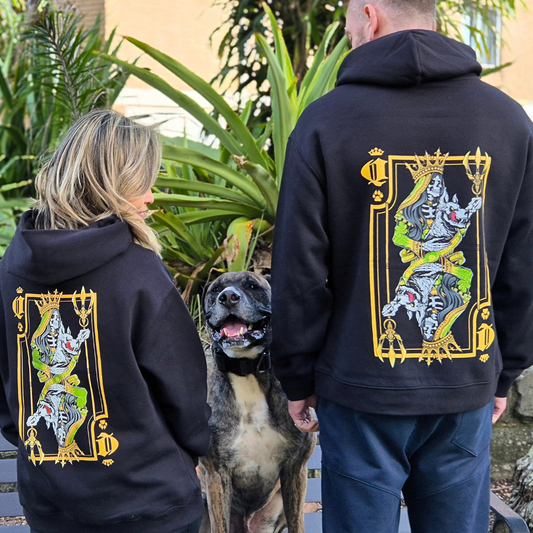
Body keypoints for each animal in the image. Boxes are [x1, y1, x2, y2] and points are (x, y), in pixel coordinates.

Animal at [199, 272, 316, 533]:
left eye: (252, 286)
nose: (228, 297)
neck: (246, 370)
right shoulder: (216, 475)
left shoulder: (295, 469)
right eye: (216, 290)